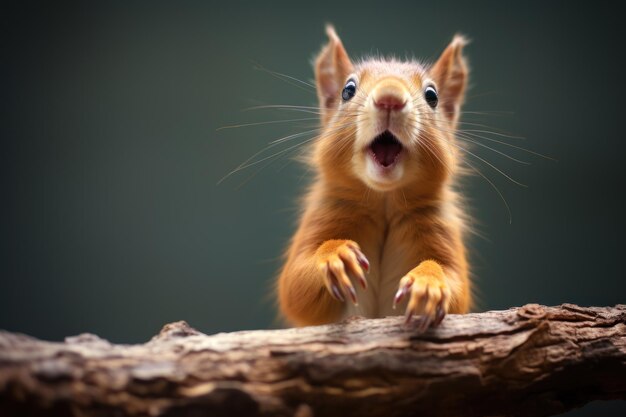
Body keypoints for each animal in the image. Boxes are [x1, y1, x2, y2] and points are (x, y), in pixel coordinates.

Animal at [276, 26, 470, 332]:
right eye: (347, 90)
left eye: (432, 96)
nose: (390, 97)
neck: (385, 200)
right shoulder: (322, 216)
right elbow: (294, 287)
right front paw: (334, 255)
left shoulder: (441, 226)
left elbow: (455, 282)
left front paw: (429, 282)